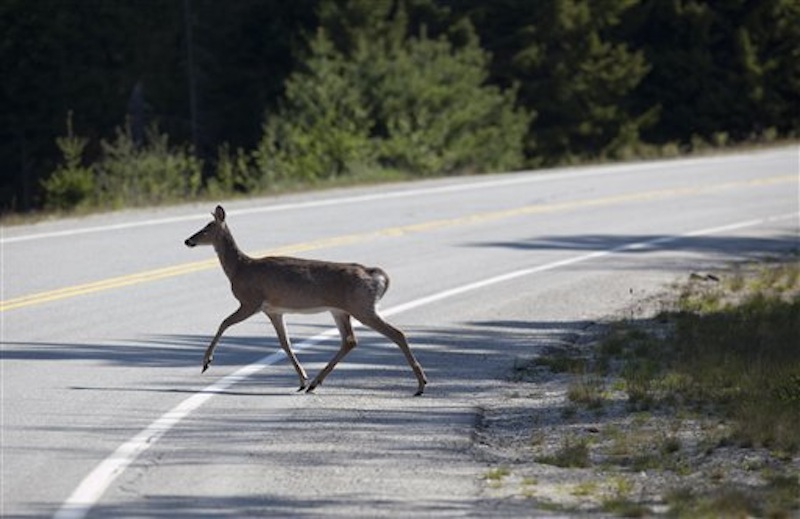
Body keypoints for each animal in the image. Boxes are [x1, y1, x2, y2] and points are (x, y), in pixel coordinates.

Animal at [184, 205, 428, 396]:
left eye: (207, 227)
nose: (188, 240)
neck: (239, 268)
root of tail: (378, 276)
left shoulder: (251, 301)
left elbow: (223, 323)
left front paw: (206, 362)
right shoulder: (273, 310)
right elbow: (285, 343)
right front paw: (301, 379)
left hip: (362, 306)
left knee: (397, 333)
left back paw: (420, 385)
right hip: (341, 310)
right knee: (350, 340)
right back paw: (314, 383)